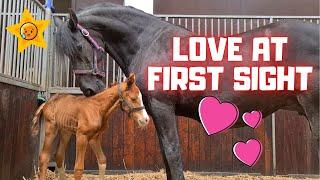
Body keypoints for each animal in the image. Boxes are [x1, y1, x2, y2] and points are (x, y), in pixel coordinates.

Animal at [54, 2, 318, 179]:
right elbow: (166, 155)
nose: (89, 89)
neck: (149, 42)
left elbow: (172, 152)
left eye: (78, 47)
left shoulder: (162, 107)